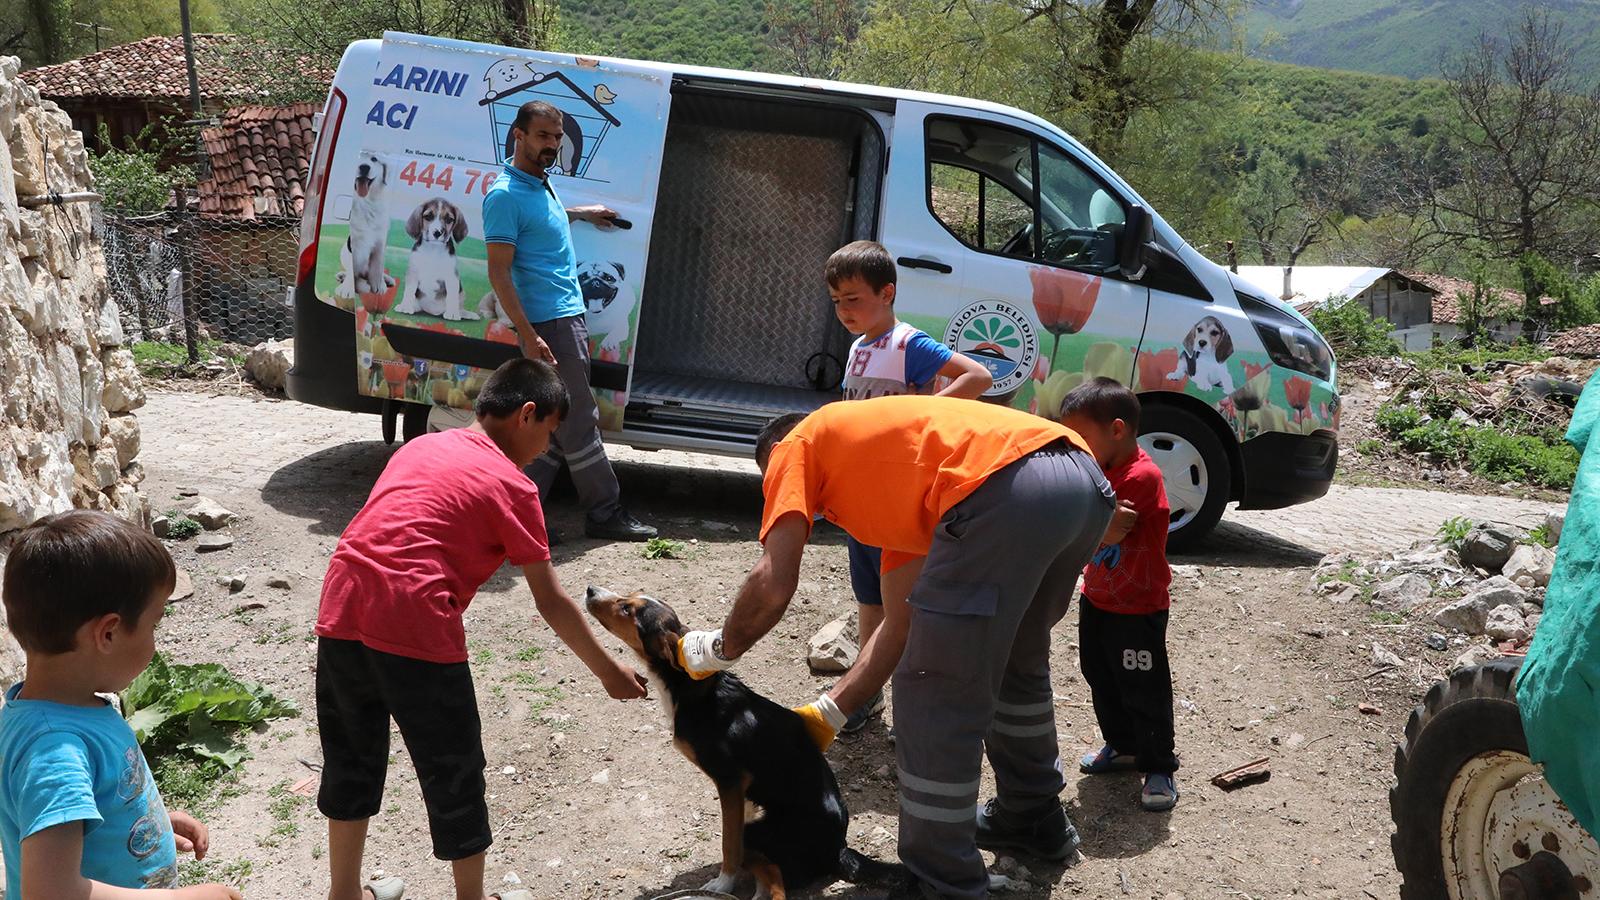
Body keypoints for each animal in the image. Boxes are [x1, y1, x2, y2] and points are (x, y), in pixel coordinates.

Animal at [585, 586, 908, 890]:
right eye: (630, 598)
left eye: (626, 609)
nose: (590, 590)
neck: (691, 688)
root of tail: (839, 849)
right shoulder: (740, 790)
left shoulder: (729, 780)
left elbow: (730, 841)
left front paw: (723, 882)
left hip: (767, 836)